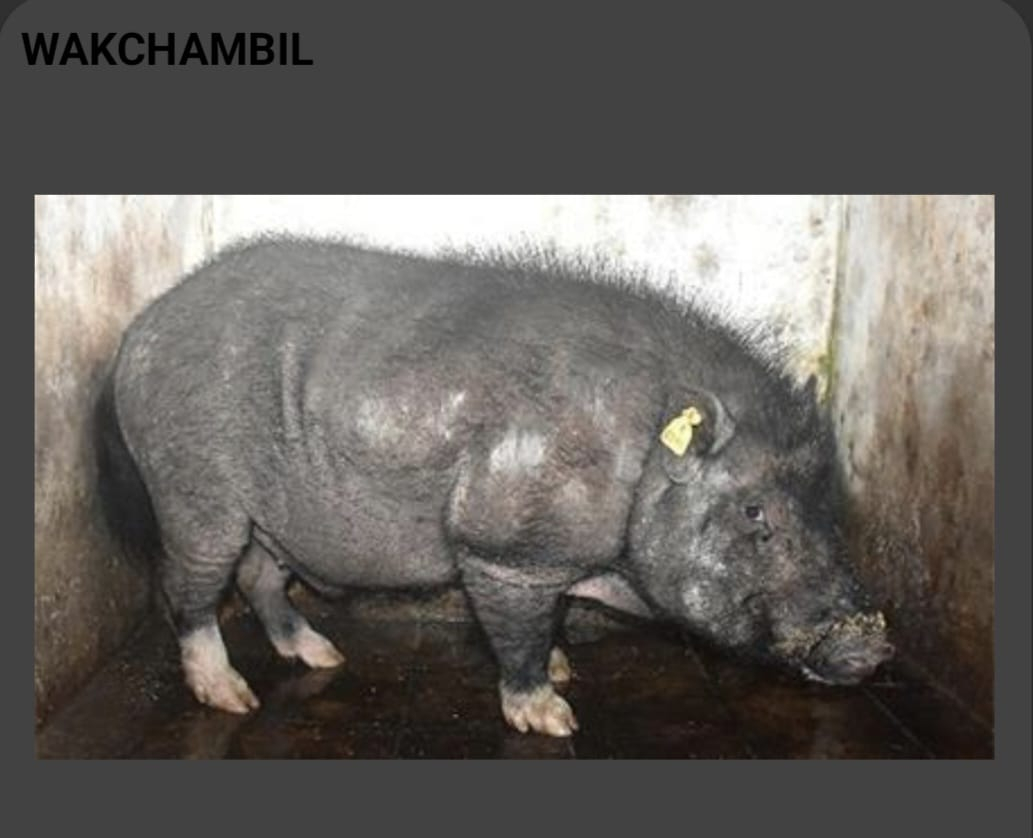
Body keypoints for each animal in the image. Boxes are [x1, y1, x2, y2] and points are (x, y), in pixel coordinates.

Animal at [97, 237, 893, 737]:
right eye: (755, 512)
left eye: (830, 508)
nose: (871, 644)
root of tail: (139, 333)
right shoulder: (505, 548)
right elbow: (519, 631)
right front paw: (554, 717)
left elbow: (558, 619)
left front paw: (567, 669)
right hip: (196, 489)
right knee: (190, 588)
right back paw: (233, 697)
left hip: (272, 514)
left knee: (261, 576)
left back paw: (323, 655)